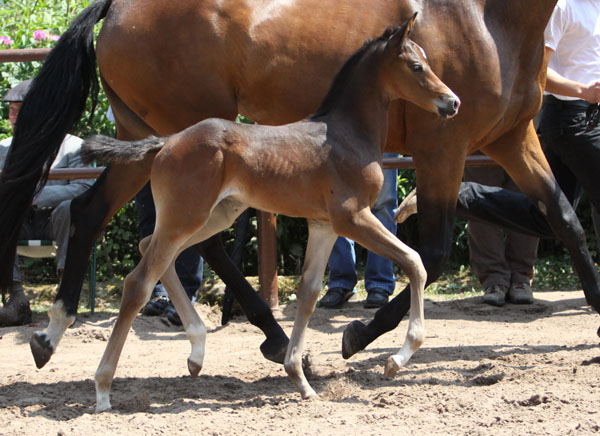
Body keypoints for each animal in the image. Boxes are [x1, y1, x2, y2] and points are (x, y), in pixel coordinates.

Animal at [0, 0, 596, 368]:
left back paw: (50, 335)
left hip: (140, 136)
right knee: (188, 242)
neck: (487, 17)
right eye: (416, 67)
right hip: (186, 140)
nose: (450, 100)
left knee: (92, 214)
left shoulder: (512, 138)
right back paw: (273, 337)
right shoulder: (443, 149)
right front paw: (359, 337)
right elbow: (433, 252)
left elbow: (563, 217)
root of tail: (118, 8)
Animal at [81, 17, 460, 412]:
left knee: (148, 249)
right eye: (416, 66)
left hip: (210, 217)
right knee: (138, 281)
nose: (452, 102)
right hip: (185, 217)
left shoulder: (324, 225)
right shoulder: (353, 217)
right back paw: (103, 388)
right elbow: (415, 261)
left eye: (426, 60)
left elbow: (309, 292)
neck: (345, 135)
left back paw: (197, 352)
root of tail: (165, 142)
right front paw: (396, 360)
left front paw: (300, 379)